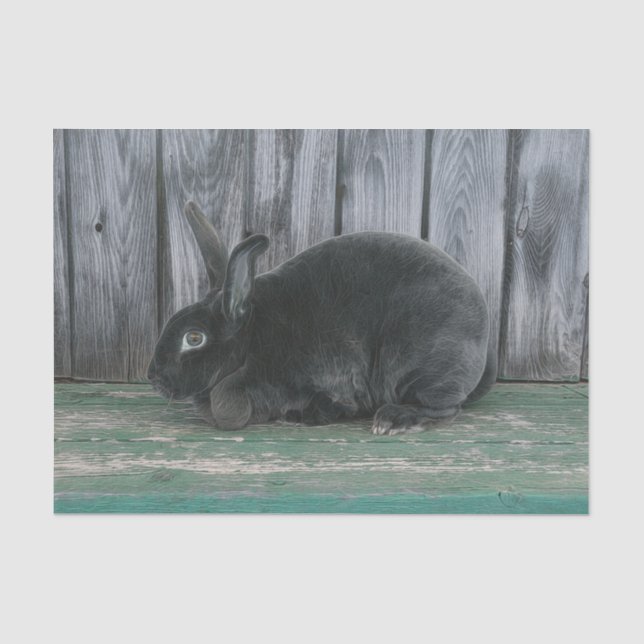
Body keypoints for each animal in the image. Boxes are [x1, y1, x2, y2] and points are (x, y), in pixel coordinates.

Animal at [147, 201, 497, 434]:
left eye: (194, 338)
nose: (153, 377)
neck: (251, 340)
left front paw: (302, 416)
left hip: (421, 366)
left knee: (446, 408)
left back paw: (392, 420)